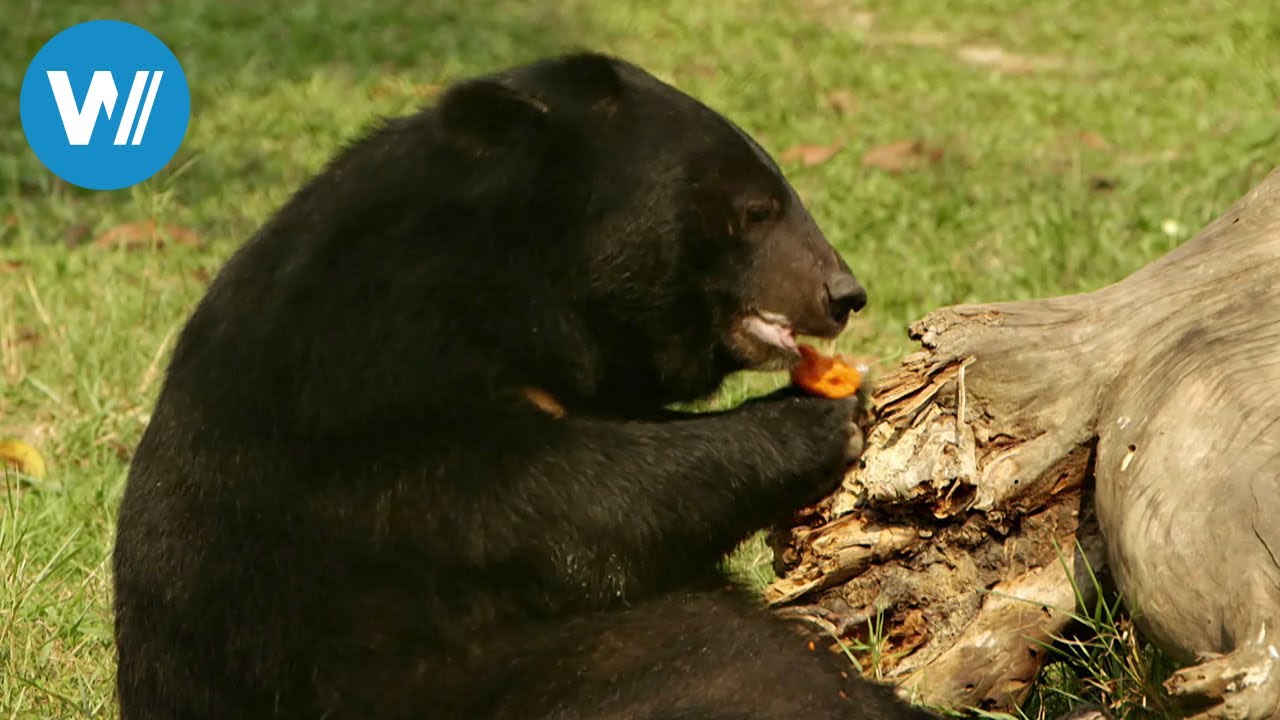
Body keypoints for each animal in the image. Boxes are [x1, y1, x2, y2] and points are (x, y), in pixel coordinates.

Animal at [112, 51, 931, 717]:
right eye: (757, 210)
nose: (844, 294)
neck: (519, 285)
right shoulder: (365, 368)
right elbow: (538, 493)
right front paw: (824, 418)